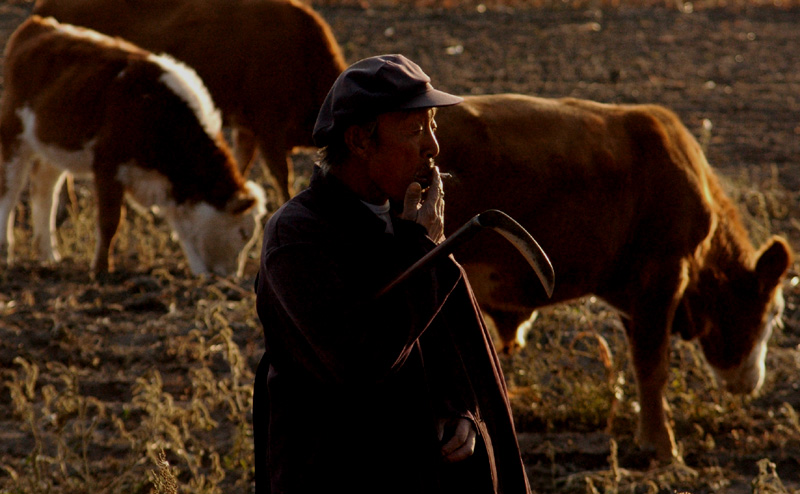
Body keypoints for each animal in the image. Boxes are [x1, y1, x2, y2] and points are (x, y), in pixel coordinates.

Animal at [0, 16, 268, 278]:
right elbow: (110, 221)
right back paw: (5, 251)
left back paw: (48, 255)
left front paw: (199, 272)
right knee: (10, 189)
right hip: (14, 132)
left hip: (52, 146)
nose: (232, 276)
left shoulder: (167, 183)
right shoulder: (108, 165)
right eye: (243, 233)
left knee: (44, 189)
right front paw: (101, 269)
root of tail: (37, 24)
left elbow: (181, 226)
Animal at [434, 93, 792, 464]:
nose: (752, 383)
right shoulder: (662, 275)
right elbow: (653, 366)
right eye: (775, 313)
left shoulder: (633, 294)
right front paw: (661, 446)